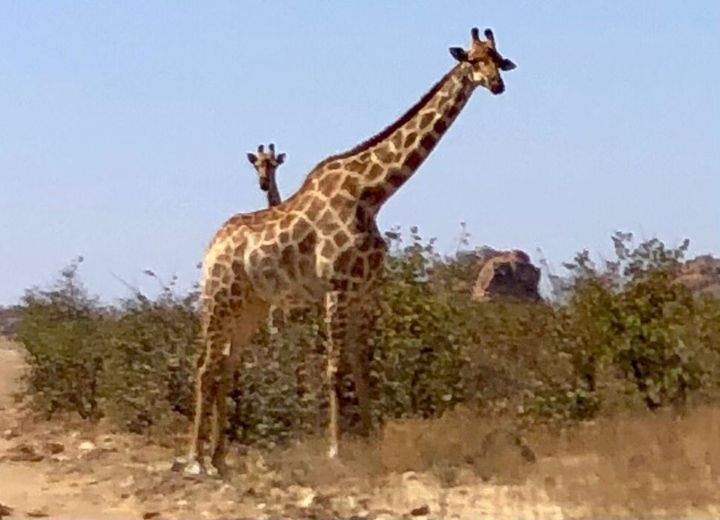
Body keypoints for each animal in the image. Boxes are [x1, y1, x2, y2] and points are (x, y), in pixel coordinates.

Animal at [187, 27, 516, 475]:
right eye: (473, 59)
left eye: (498, 59)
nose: (498, 86)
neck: (372, 192)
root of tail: (211, 246)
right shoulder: (337, 288)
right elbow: (334, 366)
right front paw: (336, 449)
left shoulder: (364, 290)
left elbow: (363, 365)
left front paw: (372, 439)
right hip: (219, 299)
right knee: (205, 367)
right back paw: (192, 459)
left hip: (251, 305)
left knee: (226, 366)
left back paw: (220, 459)